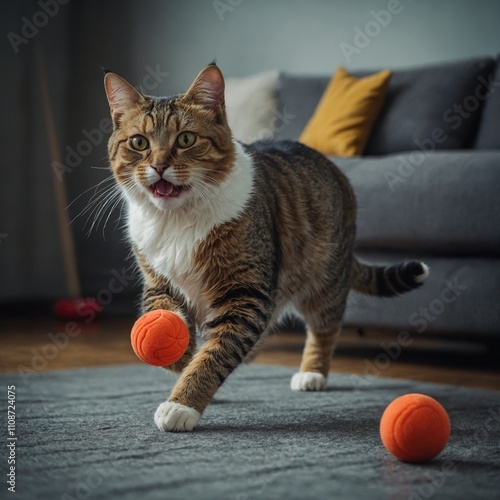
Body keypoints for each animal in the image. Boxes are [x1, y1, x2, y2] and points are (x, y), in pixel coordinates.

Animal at [103, 63, 428, 430]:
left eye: (186, 139)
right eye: (139, 142)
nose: (158, 166)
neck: (176, 220)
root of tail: (335, 170)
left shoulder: (245, 296)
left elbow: (214, 357)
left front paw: (182, 404)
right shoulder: (158, 281)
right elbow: (165, 319)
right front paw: (179, 354)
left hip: (324, 281)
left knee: (325, 327)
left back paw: (312, 374)